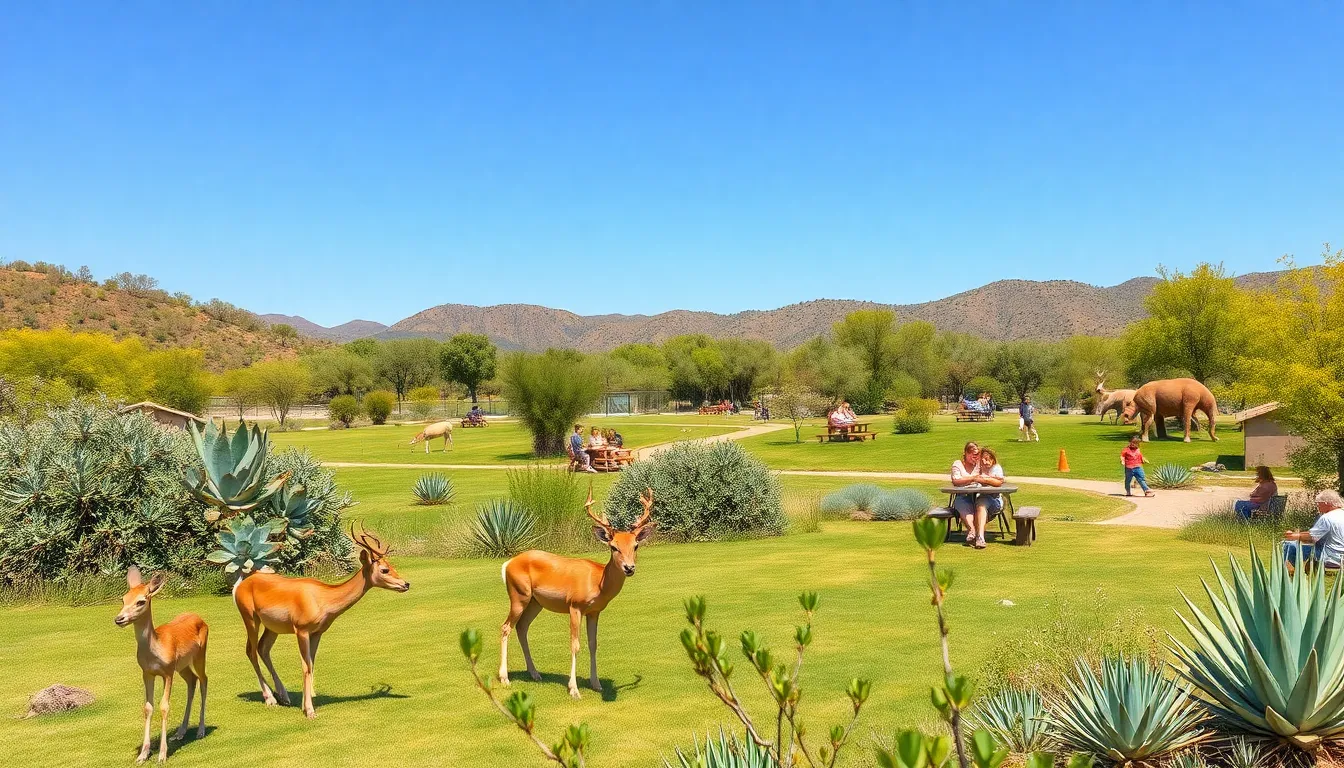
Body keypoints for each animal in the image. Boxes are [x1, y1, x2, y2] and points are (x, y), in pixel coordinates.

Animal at [114, 567, 209, 764]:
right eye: (123, 599)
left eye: (141, 601)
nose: (119, 619)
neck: (155, 650)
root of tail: (200, 618)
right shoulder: (147, 672)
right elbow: (148, 707)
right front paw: (143, 754)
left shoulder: (167, 672)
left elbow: (164, 706)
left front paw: (162, 754)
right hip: (182, 666)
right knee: (192, 681)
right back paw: (180, 732)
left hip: (200, 655)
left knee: (204, 679)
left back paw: (200, 730)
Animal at [232, 525, 410, 719]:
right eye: (384, 569)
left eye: (392, 566)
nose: (406, 584)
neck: (323, 599)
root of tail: (240, 586)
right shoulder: (301, 630)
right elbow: (306, 665)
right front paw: (309, 710)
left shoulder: (317, 633)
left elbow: (312, 663)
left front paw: (307, 700)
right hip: (250, 618)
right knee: (251, 651)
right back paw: (270, 699)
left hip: (272, 628)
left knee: (262, 649)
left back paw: (284, 696)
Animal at [499, 485, 656, 699]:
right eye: (613, 547)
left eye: (636, 546)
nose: (629, 568)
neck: (598, 582)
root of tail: (507, 564)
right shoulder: (575, 606)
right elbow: (575, 644)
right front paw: (573, 689)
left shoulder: (594, 611)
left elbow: (593, 644)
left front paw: (596, 683)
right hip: (518, 594)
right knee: (506, 627)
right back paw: (504, 678)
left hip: (534, 602)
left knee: (522, 627)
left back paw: (535, 673)